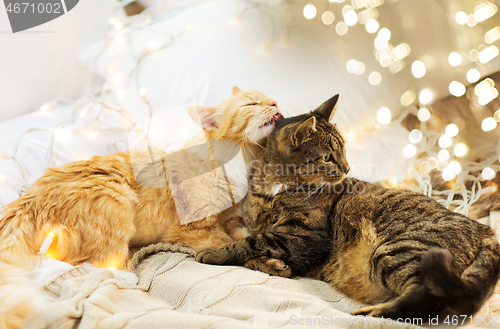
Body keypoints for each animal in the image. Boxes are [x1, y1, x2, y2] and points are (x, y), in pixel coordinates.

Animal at [0, 87, 282, 328]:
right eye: (251, 104)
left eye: (268, 98)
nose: (275, 103)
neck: (239, 161)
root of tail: (28, 197)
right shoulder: (197, 230)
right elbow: (237, 248)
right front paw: (275, 262)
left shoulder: (232, 220)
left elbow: (250, 238)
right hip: (116, 200)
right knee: (92, 263)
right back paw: (127, 277)